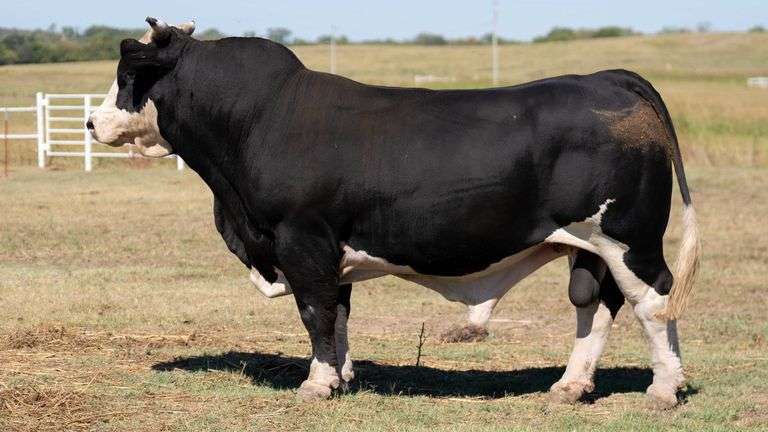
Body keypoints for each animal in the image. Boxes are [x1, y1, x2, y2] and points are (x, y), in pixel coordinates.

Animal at [88, 18, 700, 408]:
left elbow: (315, 313)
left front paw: (317, 384)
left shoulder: (301, 239)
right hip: (588, 247)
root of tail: (606, 77)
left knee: (653, 302)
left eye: (127, 76)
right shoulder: (330, 248)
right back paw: (571, 387)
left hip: (629, 238)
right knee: (594, 306)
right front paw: (342, 376)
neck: (258, 119)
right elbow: (338, 314)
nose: (92, 122)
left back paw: (664, 389)